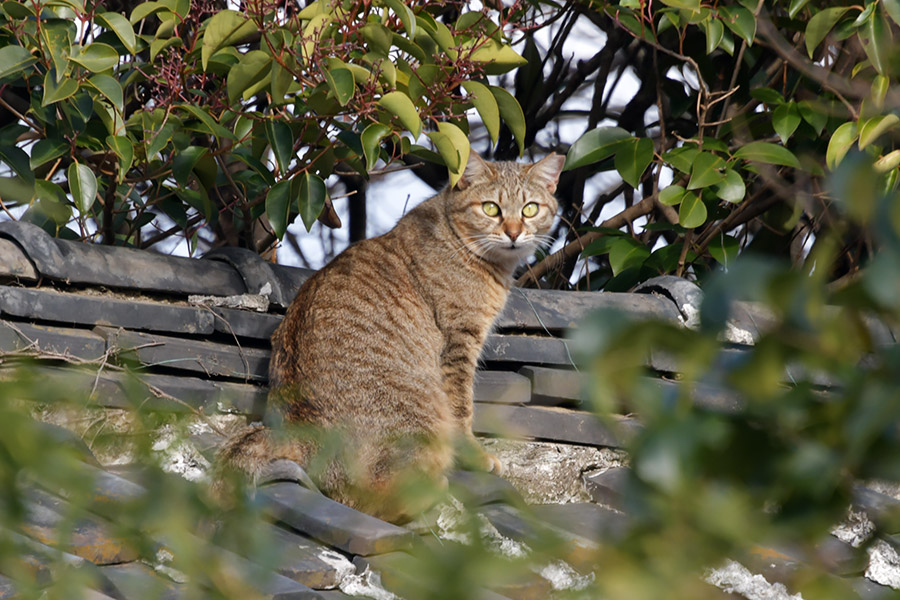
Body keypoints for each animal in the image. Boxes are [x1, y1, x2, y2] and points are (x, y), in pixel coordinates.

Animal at [217, 152, 564, 524]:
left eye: (530, 209)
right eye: (490, 208)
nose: (514, 232)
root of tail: (300, 427)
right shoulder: (458, 344)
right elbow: (462, 409)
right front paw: (476, 456)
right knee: (368, 502)